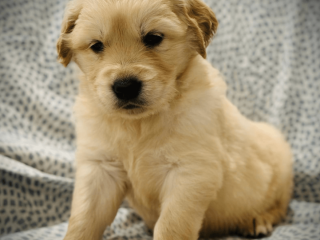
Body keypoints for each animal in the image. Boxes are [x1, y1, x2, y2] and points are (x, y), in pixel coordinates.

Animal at [57, 0, 292, 240]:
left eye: (153, 38)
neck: (138, 124)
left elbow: (172, 225)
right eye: (96, 46)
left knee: (281, 207)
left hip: (281, 169)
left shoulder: (191, 170)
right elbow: (84, 219)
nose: (125, 87)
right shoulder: (100, 167)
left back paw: (257, 219)